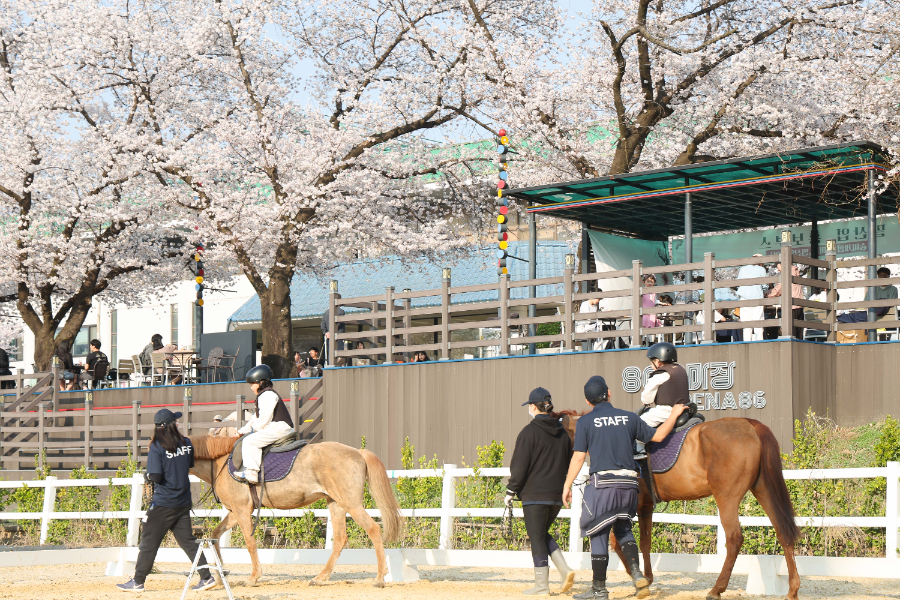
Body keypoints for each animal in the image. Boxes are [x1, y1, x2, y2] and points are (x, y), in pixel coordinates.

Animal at [188, 435, 404, 587]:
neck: (220, 463)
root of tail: (358, 452)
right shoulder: (235, 512)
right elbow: (215, 534)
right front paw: (220, 574)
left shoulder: (241, 510)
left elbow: (250, 543)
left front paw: (254, 577)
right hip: (336, 503)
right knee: (340, 539)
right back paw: (320, 578)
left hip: (350, 504)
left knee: (373, 529)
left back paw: (379, 578)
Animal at [559, 412, 801, 600]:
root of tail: (749, 424)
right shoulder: (645, 507)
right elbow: (644, 542)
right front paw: (646, 578)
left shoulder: (628, 508)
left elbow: (617, 542)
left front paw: (639, 580)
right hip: (763, 489)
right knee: (783, 532)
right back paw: (792, 590)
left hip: (727, 497)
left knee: (734, 539)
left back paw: (716, 589)